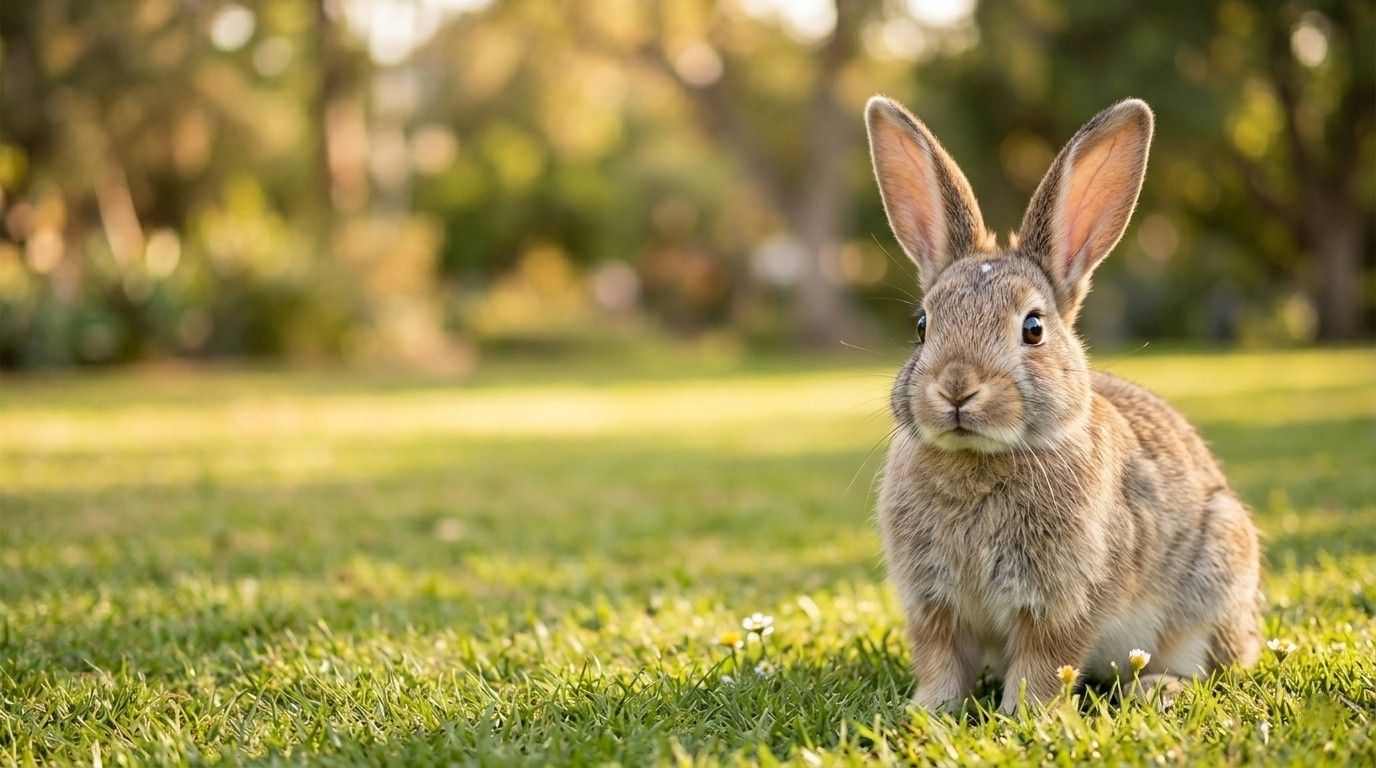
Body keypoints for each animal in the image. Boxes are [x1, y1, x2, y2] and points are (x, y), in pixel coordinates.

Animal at [865, 96, 1262, 713]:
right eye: (922, 326)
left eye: (1033, 328)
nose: (956, 387)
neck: (981, 460)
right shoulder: (935, 606)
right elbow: (941, 663)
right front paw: (926, 713)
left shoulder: (1063, 602)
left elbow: (1043, 662)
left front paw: (1022, 716)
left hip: (1216, 575)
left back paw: (1158, 688)